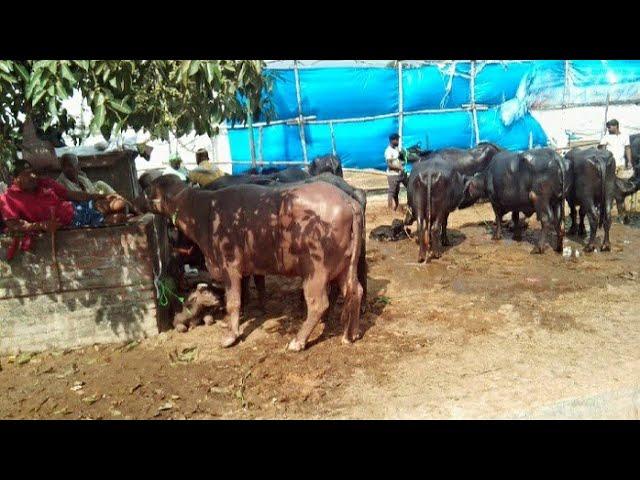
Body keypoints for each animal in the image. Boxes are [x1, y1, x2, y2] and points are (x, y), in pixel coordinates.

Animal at [140, 174, 362, 350]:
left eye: (149, 188)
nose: (137, 198)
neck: (204, 213)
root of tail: (347, 200)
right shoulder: (246, 269)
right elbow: (248, 292)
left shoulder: (229, 268)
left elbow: (233, 302)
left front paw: (231, 336)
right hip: (345, 266)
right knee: (355, 291)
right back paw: (350, 334)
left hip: (316, 270)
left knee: (319, 304)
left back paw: (298, 341)